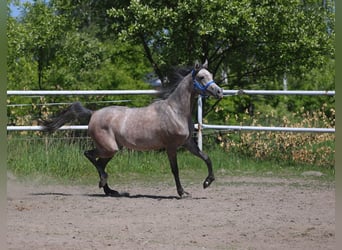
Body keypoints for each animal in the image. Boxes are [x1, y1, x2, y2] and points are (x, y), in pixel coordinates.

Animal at [41, 60, 223, 197]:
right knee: (90, 155)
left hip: (113, 149)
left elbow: (206, 157)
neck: (176, 111)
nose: (219, 92)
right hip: (109, 147)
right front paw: (182, 192)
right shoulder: (171, 146)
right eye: (201, 77)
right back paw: (104, 182)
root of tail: (93, 113)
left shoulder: (187, 143)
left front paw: (207, 182)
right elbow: (175, 170)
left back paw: (110, 190)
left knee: (100, 163)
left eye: (212, 76)